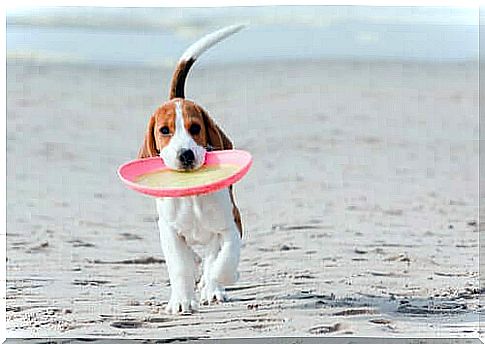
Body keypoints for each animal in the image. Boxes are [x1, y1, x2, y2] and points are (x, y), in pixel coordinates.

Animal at [136, 24, 244, 314]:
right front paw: (182, 300)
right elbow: (180, 267)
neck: (192, 194)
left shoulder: (231, 224)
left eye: (195, 128)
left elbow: (225, 261)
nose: (185, 154)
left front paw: (215, 283)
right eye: (164, 131)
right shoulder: (169, 232)